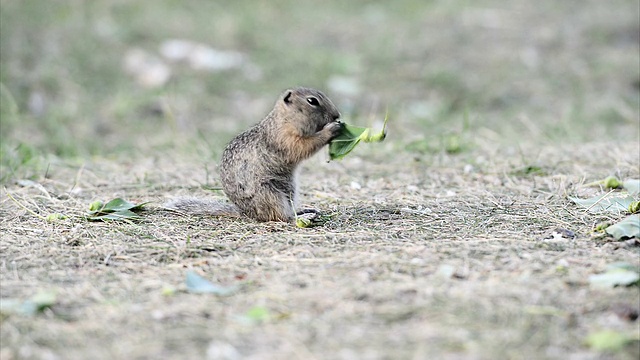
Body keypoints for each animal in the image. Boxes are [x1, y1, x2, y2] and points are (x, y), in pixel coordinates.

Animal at [168, 87, 342, 222]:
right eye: (312, 101)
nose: (337, 115)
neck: (285, 120)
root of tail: (247, 213)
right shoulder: (286, 138)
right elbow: (304, 145)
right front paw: (332, 129)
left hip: (290, 191)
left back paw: (304, 211)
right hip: (270, 194)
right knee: (280, 217)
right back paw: (302, 218)